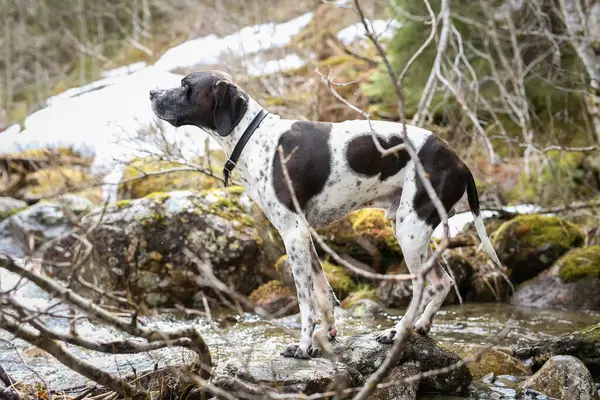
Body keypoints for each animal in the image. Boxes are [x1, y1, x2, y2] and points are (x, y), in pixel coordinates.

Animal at [151, 71, 502, 360]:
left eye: (186, 87)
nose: (152, 92)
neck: (255, 138)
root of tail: (459, 161)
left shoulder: (293, 233)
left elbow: (305, 301)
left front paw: (304, 346)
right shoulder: (304, 234)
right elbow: (322, 292)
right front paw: (327, 334)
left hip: (410, 232)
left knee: (423, 287)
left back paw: (397, 332)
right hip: (410, 228)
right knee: (443, 282)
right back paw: (423, 325)